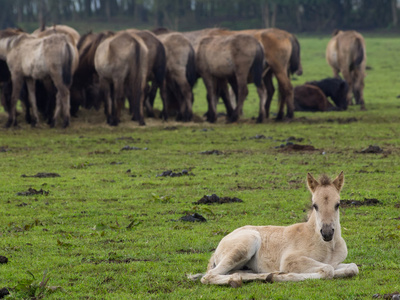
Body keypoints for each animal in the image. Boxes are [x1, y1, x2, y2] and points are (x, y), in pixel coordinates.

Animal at [188, 171, 360, 286]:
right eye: (315, 205)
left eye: (337, 204)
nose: (327, 233)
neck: (327, 246)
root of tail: (218, 248)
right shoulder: (290, 260)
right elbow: (327, 270)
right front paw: (284, 275)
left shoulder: (337, 262)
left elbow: (352, 268)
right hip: (246, 243)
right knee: (209, 276)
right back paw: (252, 278)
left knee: (234, 272)